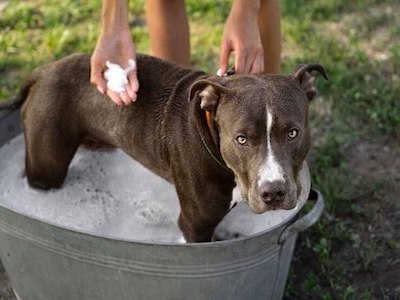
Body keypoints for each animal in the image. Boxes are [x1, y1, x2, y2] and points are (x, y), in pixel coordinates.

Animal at [0, 53, 326, 241]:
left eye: (293, 133)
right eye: (241, 139)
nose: (274, 192)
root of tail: (44, 70)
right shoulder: (195, 224)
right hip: (47, 165)